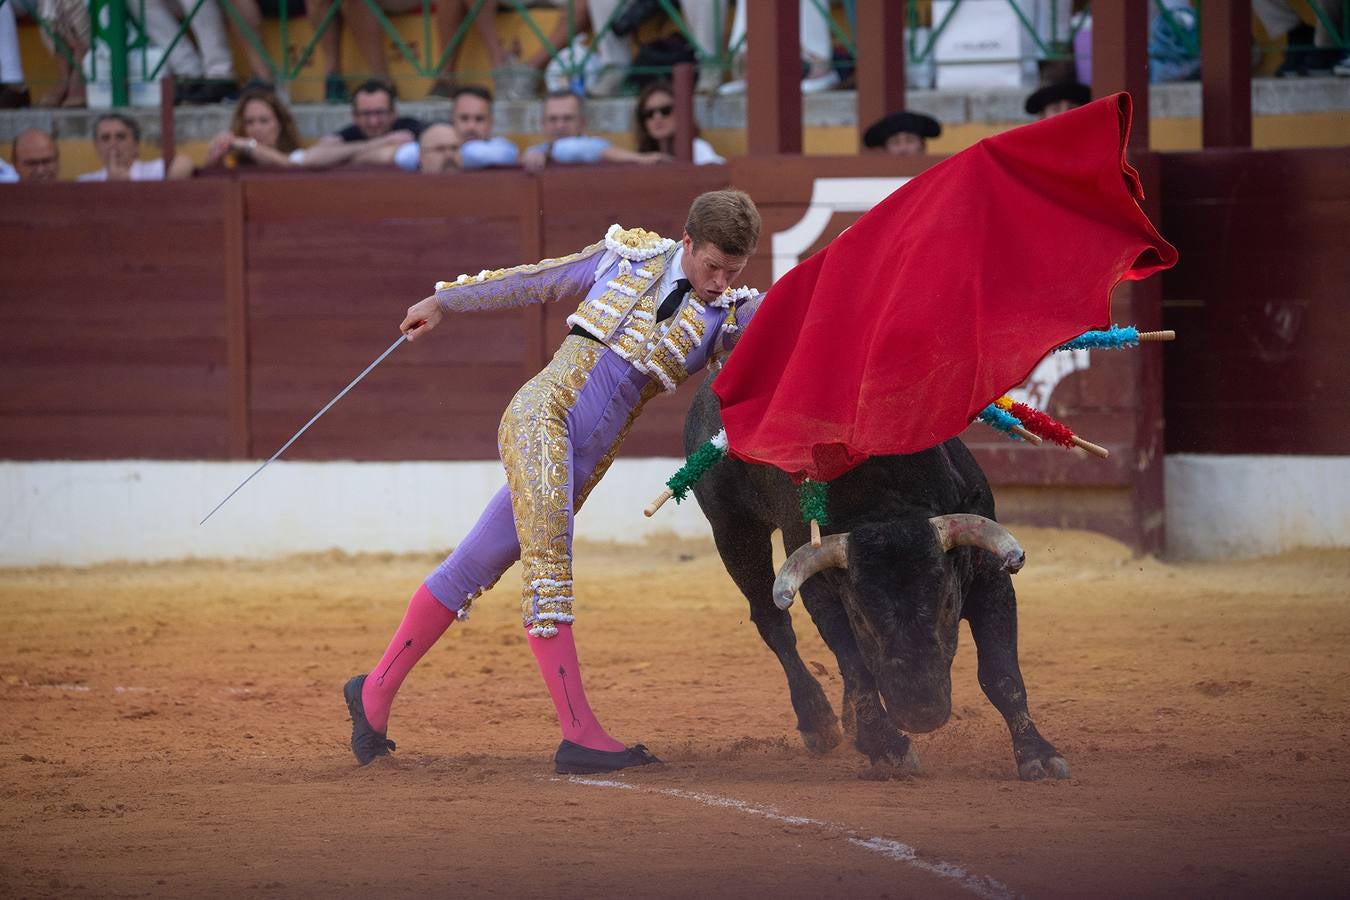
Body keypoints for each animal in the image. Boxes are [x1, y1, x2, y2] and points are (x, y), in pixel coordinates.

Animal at [691, 380, 1069, 782]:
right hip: (734, 531)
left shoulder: (990, 581)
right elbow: (857, 668)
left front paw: (1037, 754)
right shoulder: (823, 597)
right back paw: (818, 722)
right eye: (860, 616)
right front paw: (888, 748)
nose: (920, 714)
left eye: (948, 603)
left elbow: (1001, 673)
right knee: (774, 624)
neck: (886, 502)